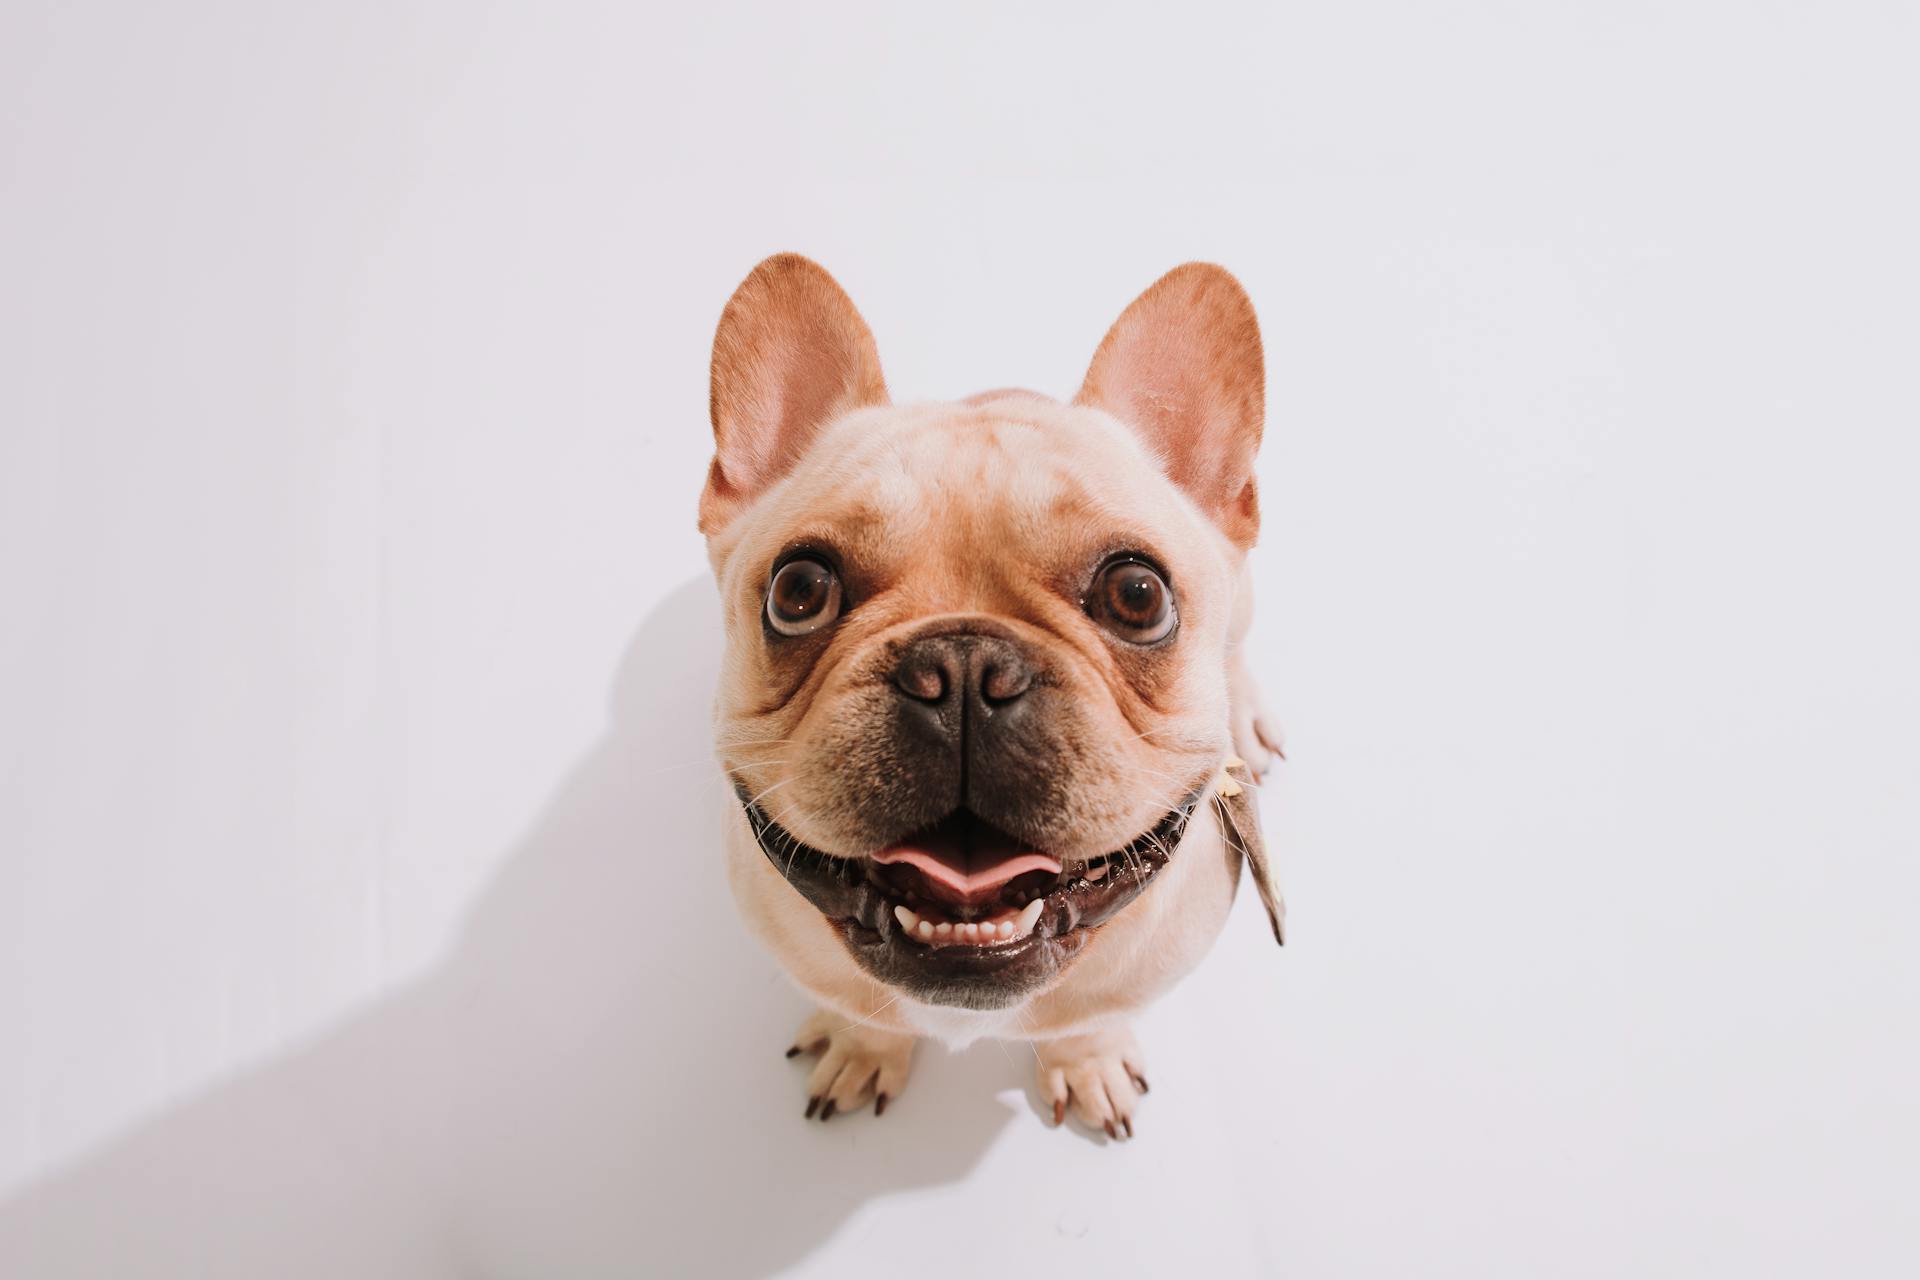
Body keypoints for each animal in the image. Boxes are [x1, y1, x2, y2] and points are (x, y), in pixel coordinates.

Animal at [698, 255, 1282, 1136]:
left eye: (1138, 596)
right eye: (798, 591)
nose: (963, 670)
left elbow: (1086, 1024)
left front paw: (1088, 1062)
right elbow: (867, 1012)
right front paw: (864, 1047)